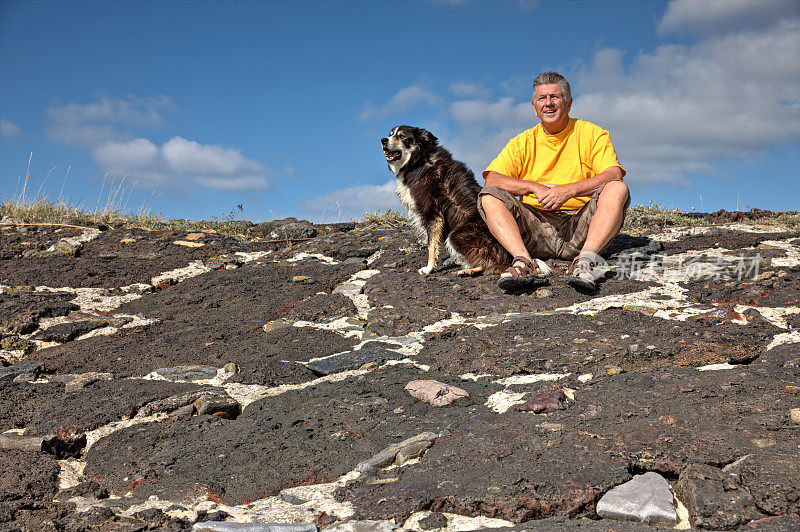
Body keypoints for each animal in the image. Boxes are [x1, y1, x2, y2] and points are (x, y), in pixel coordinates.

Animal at [382, 124, 512, 274]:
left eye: (402, 136)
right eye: (390, 134)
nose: (383, 140)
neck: (419, 160)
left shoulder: (432, 213)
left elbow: (431, 245)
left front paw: (429, 268)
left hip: (455, 236)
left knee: (491, 264)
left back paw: (467, 270)